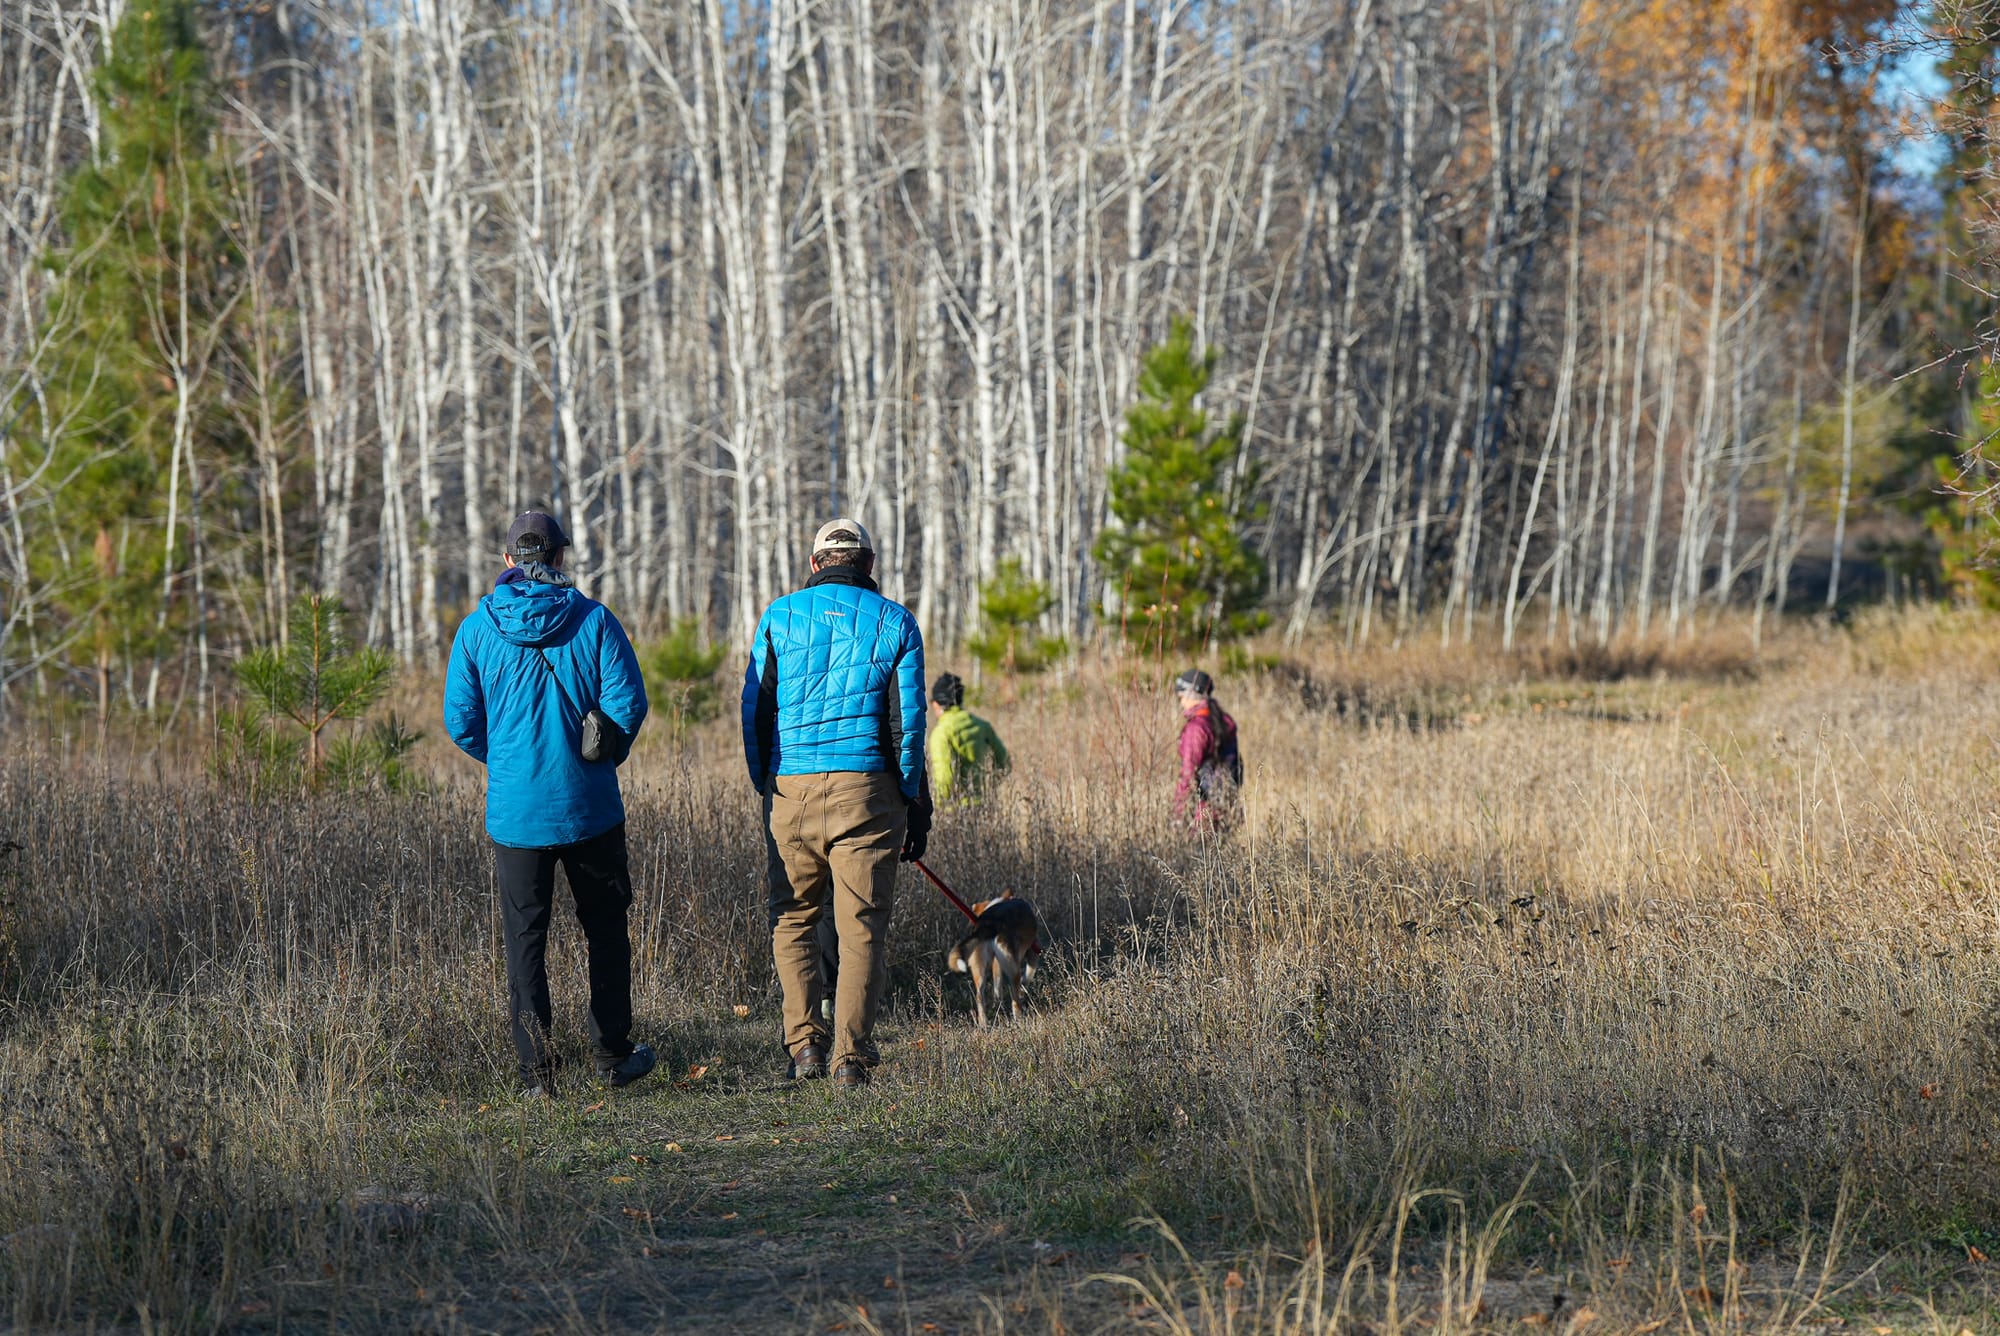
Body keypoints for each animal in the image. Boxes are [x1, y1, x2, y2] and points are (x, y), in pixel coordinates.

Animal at [952, 892, 1048, 1032]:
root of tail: (989, 925)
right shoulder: (1034, 953)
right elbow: (1027, 978)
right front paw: (1023, 990)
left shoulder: (996, 964)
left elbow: (997, 987)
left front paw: (997, 1004)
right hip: (1013, 969)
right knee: (1015, 998)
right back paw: (1019, 1018)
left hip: (979, 968)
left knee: (979, 996)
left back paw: (984, 1024)